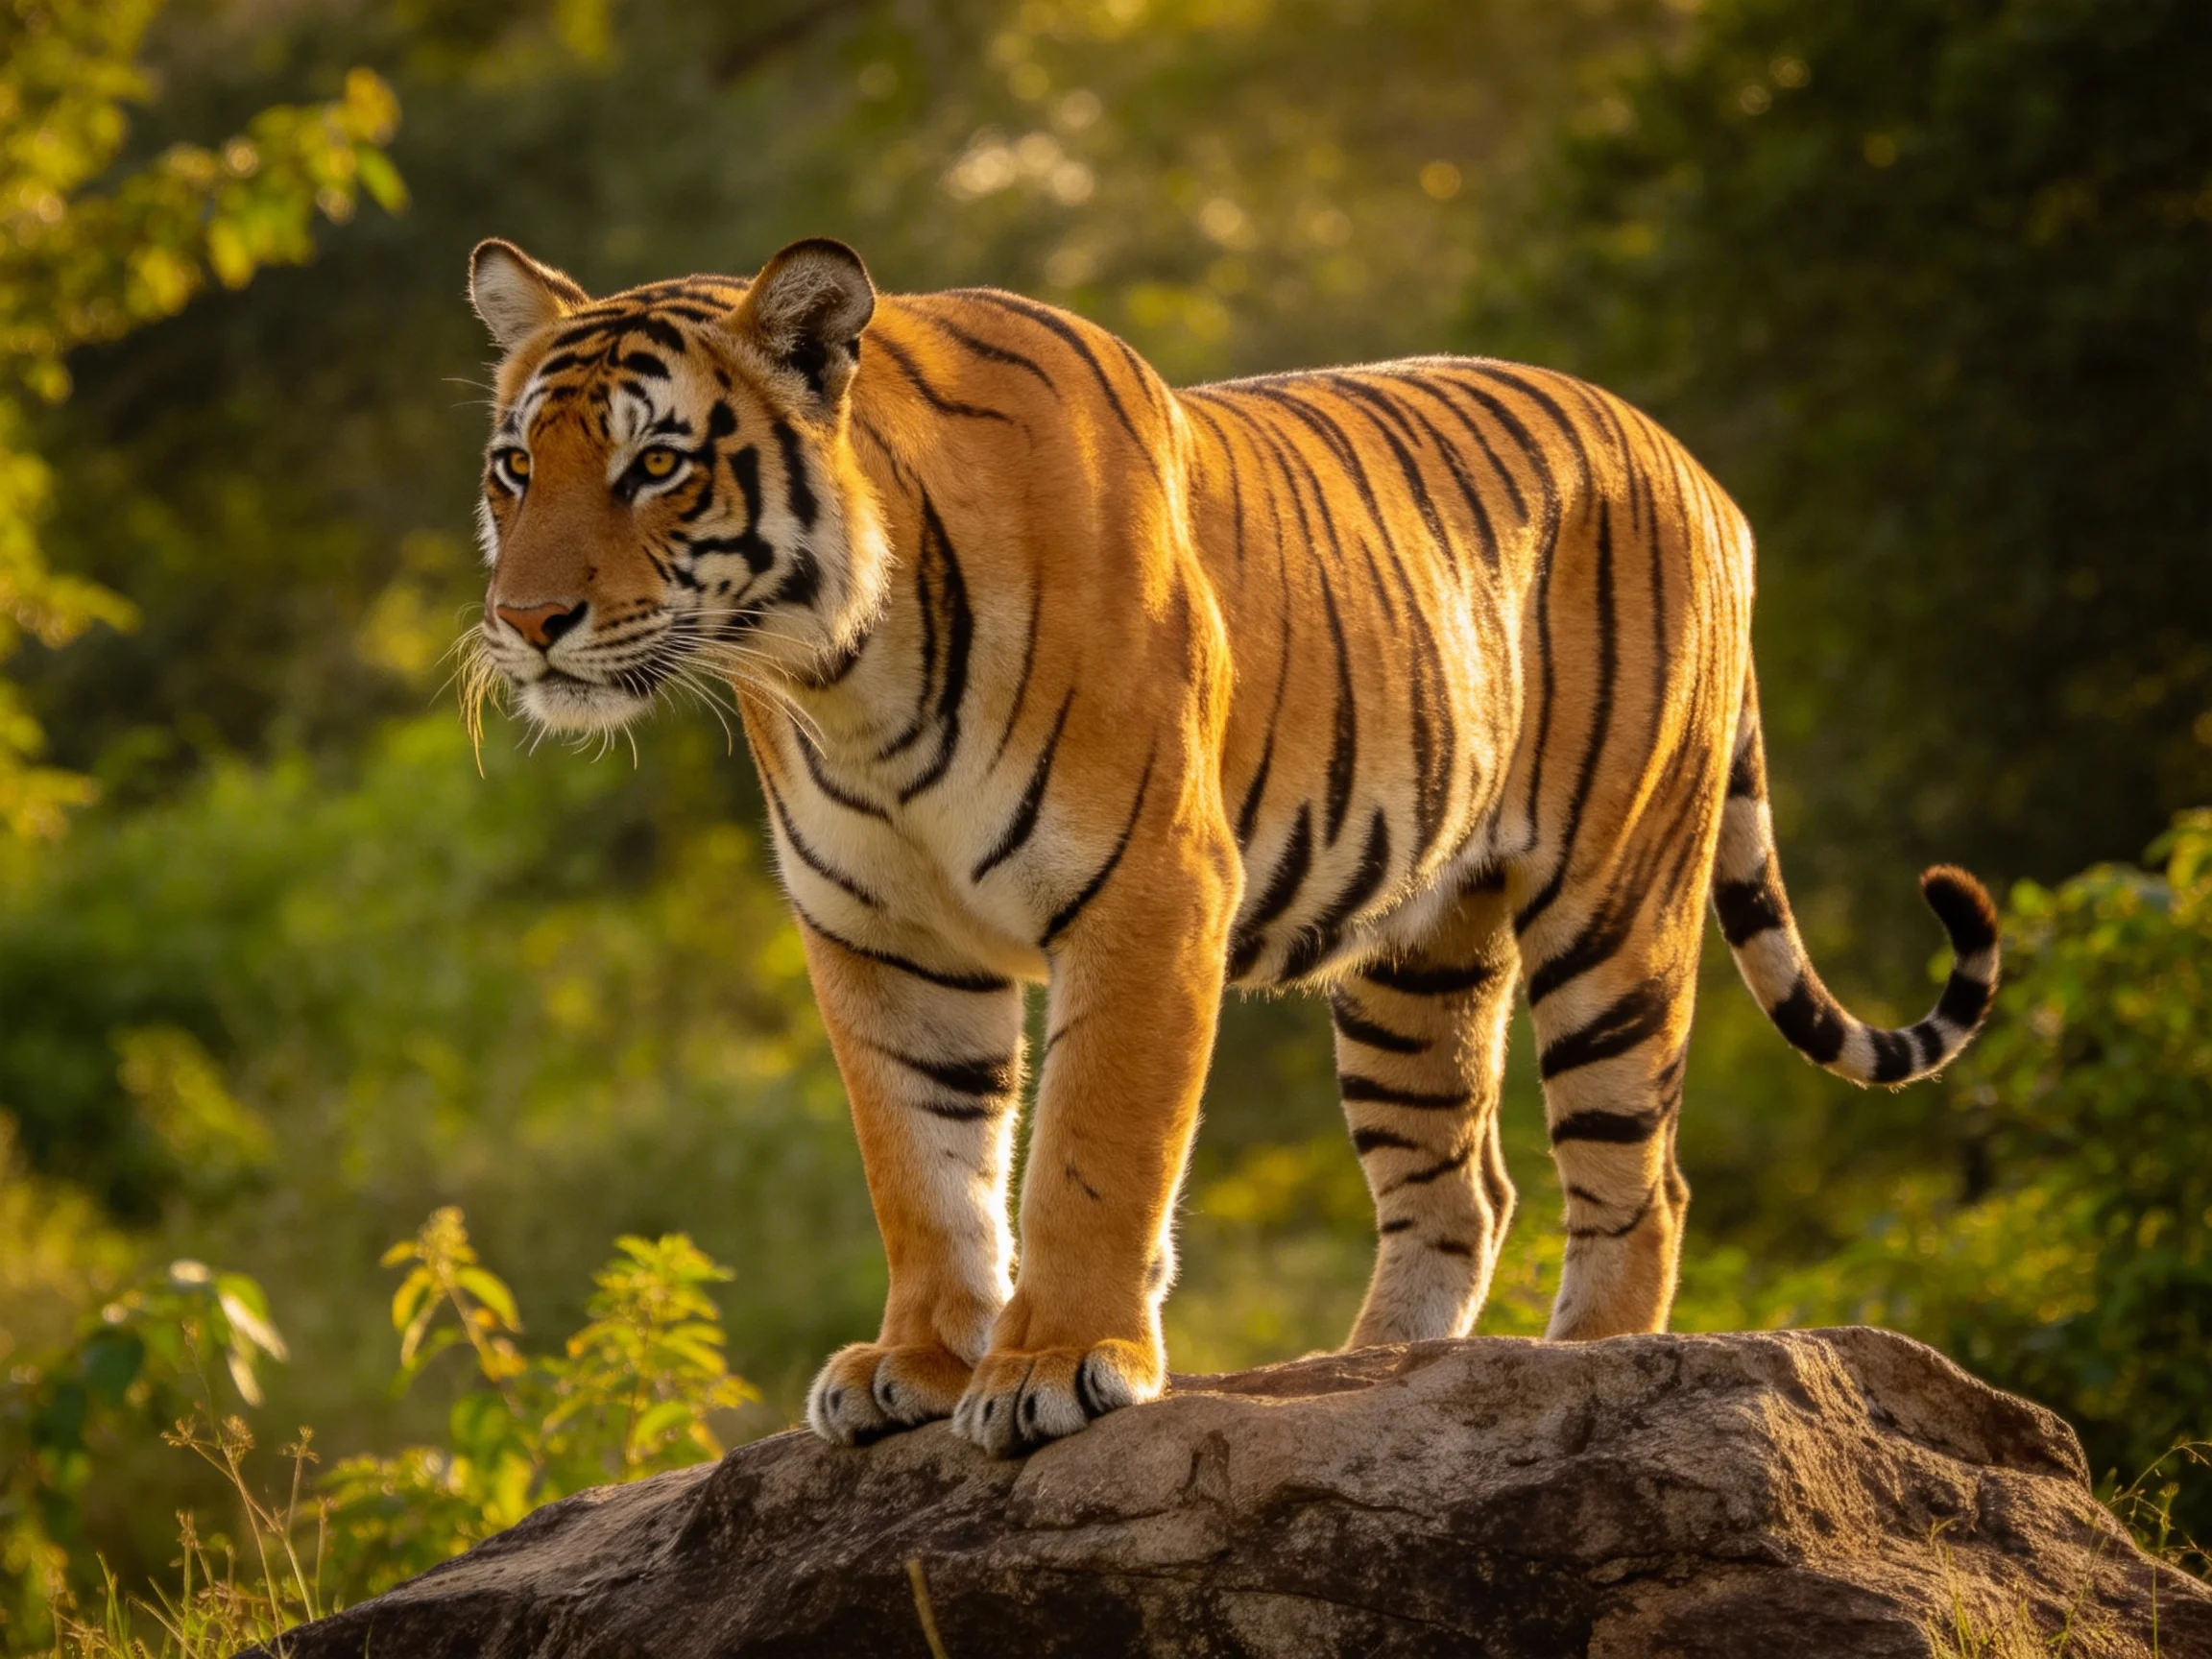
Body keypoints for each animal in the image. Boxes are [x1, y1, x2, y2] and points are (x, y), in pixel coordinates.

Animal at [462, 234, 2000, 1457]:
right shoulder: (877, 934)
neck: (839, 679)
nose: (525, 623)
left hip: (1613, 906)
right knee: (1458, 1185)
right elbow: (923, 1164)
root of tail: (1696, 469)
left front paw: (1050, 1369)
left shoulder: (1146, 891)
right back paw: (1375, 1376)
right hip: (1418, 963)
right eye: (517, 469)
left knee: (1639, 1176)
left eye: (658, 466)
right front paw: (917, 1364)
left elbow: (1090, 1153)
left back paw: (1588, 1373)